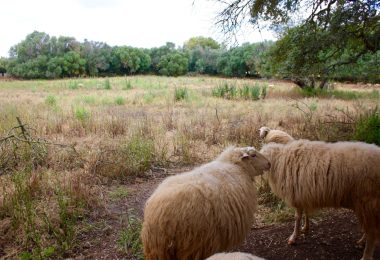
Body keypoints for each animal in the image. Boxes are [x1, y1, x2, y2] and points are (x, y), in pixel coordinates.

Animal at [142, 146, 270, 260]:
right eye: (253, 155)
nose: (269, 163)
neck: (236, 165)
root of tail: (158, 218)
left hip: (159, 251)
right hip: (195, 244)